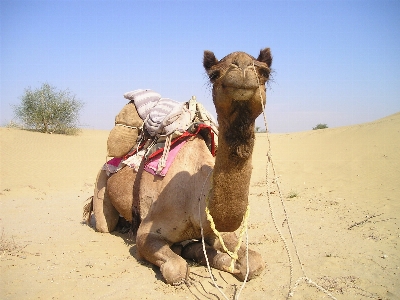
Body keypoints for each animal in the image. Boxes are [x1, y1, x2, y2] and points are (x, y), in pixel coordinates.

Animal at [89, 48, 274, 284]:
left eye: (265, 71)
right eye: (214, 74)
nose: (241, 66)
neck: (196, 198)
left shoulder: (217, 231)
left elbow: (255, 262)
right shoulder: (147, 233)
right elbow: (176, 269)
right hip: (101, 181)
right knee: (105, 224)